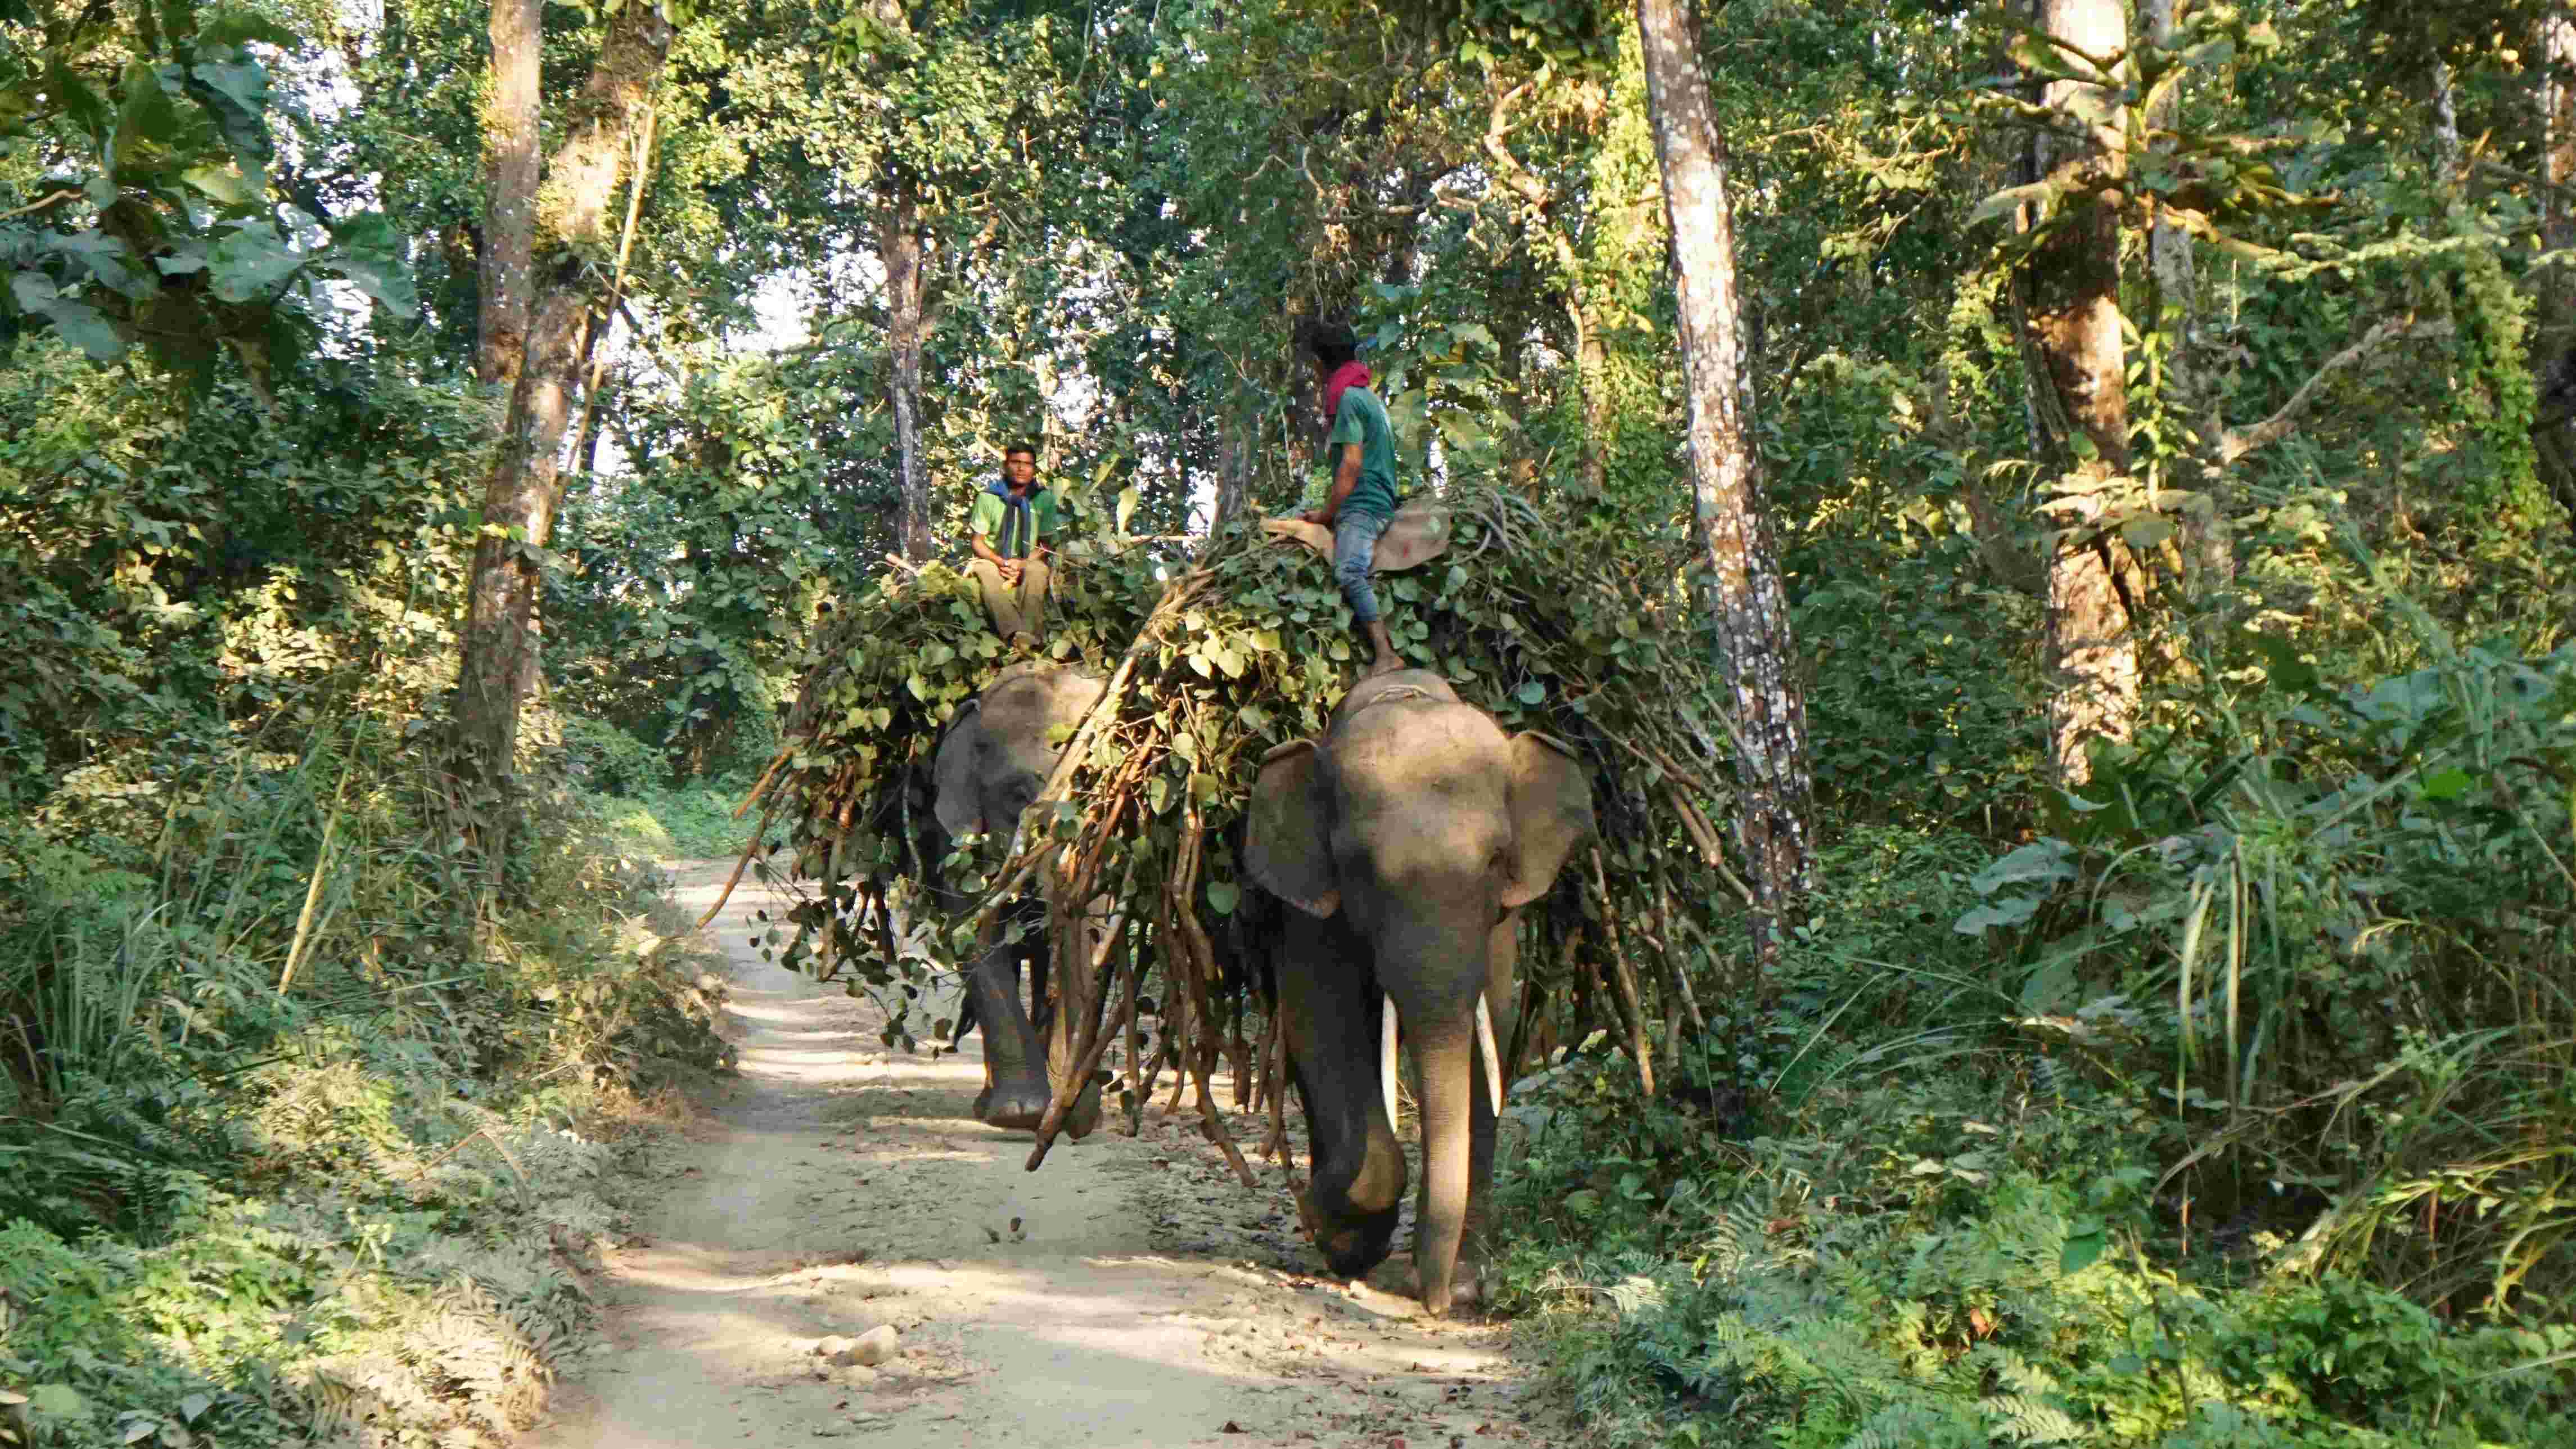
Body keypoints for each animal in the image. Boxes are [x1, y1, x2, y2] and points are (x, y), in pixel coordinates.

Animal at [937, 658, 1118, 1148]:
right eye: (1019, 796)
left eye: (1105, 788)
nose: (1075, 1121)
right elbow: (976, 934)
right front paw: (1019, 1113)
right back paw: (990, 1106)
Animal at [1242, 669, 1586, 1317]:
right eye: (1359, 866)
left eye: (1496, 860)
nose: (1433, 1302)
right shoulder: (1312, 909)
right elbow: (1321, 1024)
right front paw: (1337, 1230)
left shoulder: (1499, 922)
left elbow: (1489, 1035)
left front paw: (1465, 1283)